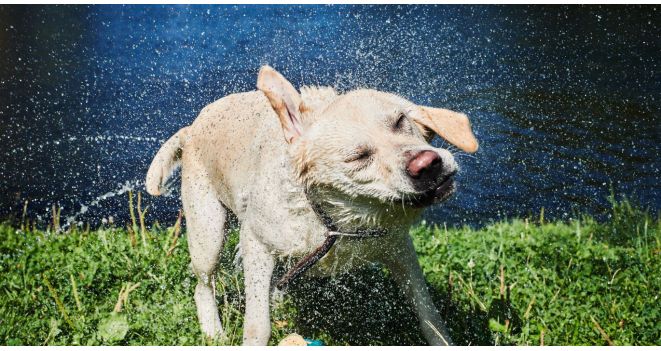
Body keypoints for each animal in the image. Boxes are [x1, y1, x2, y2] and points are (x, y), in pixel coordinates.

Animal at [146, 66, 474, 346]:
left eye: (400, 121)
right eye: (357, 157)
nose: (427, 165)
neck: (335, 221)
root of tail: (192, 128)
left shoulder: (399, 248)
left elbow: (429, 314)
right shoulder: (257, 245)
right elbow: (258, 325)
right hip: (208, 234)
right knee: (202, 286)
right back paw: (213, 332)